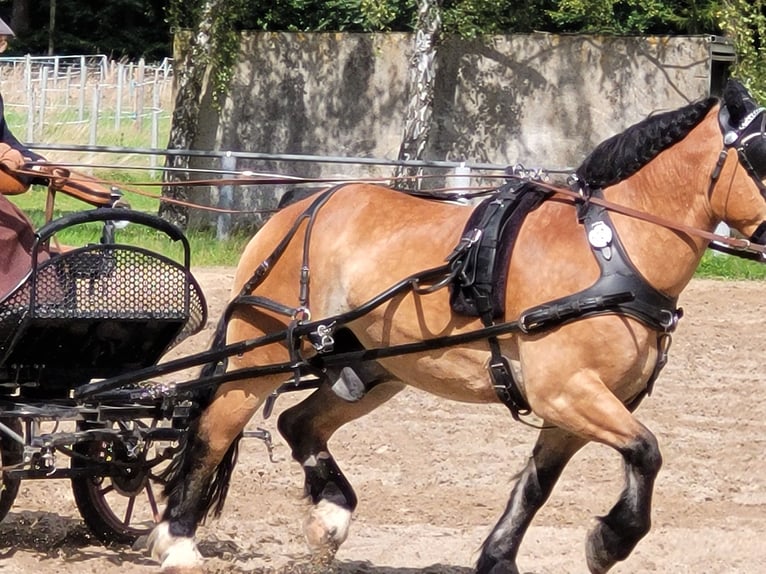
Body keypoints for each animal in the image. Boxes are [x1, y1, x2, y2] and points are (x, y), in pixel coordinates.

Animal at [147, 77, 766, 574]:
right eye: (763, 153)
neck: (611, 252)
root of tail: (300, 203)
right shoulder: (567, 391)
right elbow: (646, 452)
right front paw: (610, 540)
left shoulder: (577, 407)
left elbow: (537, 486)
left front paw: (498, 559)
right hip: (261, 353)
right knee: (214, 429)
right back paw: (178, 541)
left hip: (373, 368)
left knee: (299, 423)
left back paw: (330, 518)